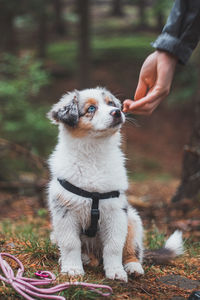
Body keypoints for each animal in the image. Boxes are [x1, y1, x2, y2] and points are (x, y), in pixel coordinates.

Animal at [47, 86, 184, 282]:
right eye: (91, 109)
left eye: (111, 103)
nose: (117, 112)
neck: (94, 153)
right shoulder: (65, 211)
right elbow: (70, 243)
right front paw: (72, 270)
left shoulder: (116, 212)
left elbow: (114, 246)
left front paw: (116, 272)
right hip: (55, 234)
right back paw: (85, 258)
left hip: (133, 219)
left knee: (133, 250)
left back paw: (133, 267)